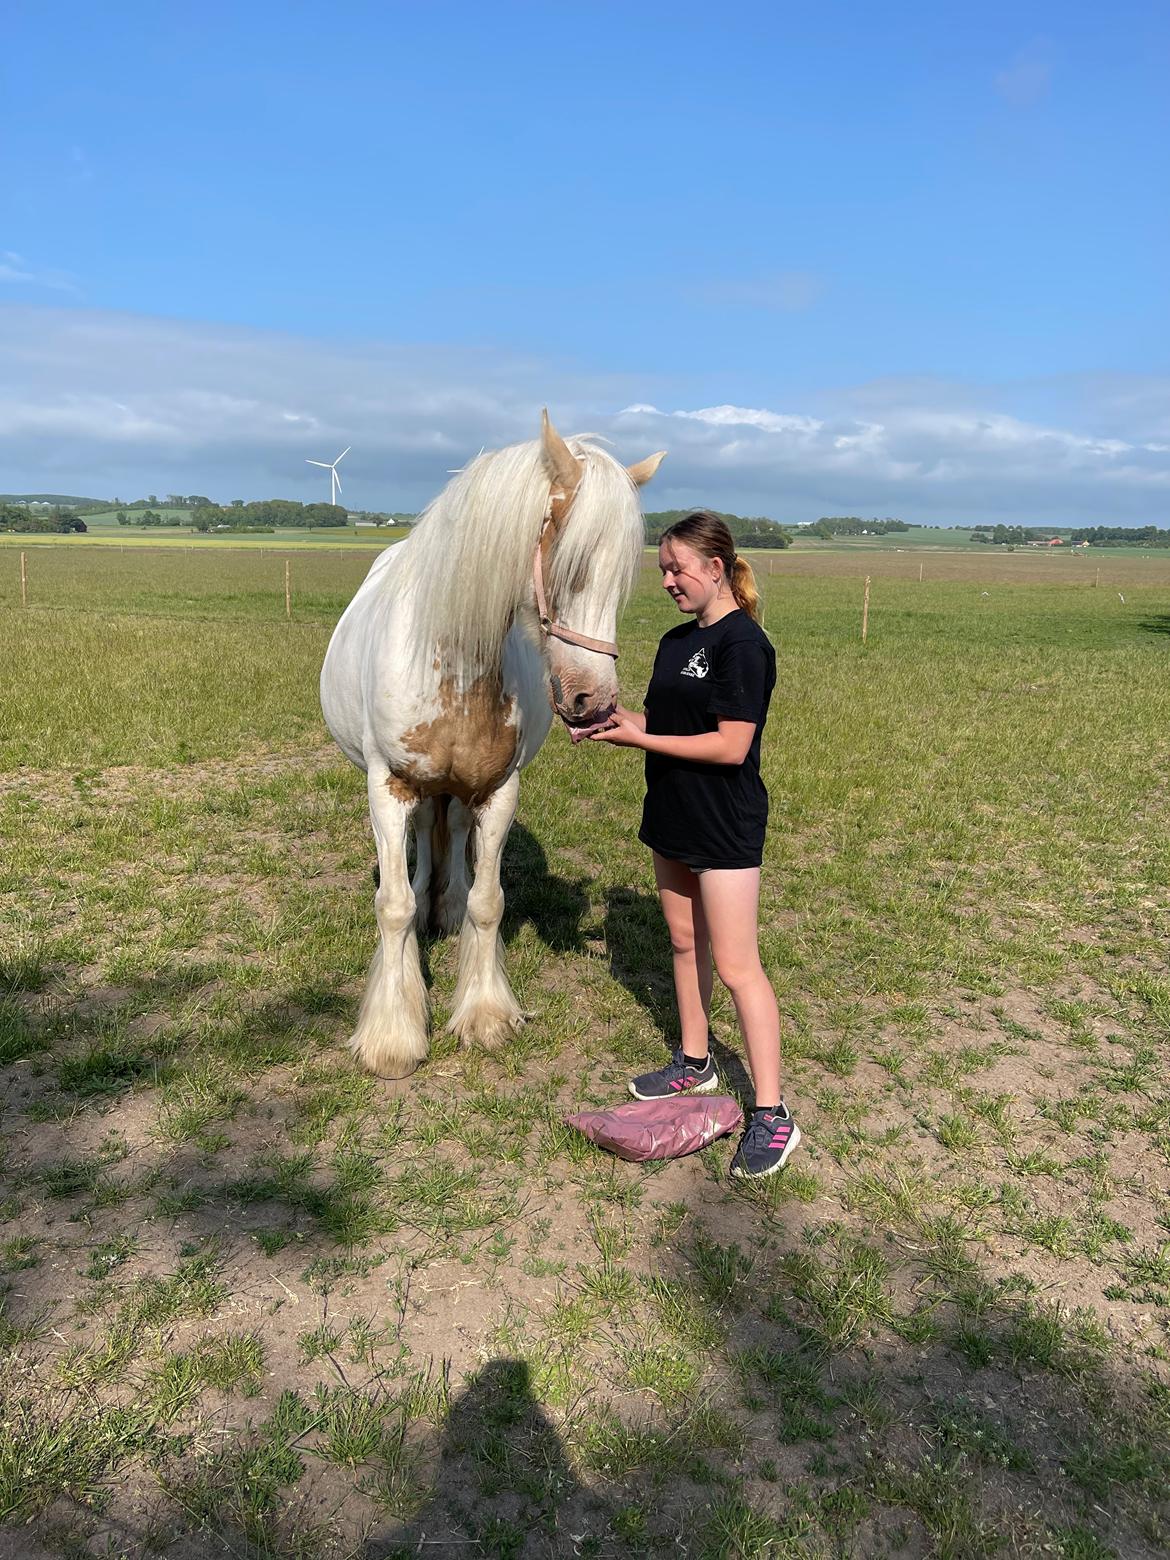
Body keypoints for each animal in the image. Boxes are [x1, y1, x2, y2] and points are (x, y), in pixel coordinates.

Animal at [321, 408, 667, 1079]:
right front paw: (393, 1034)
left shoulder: (499, 790)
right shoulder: (388, 787)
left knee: (452, 834)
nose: (595, 703)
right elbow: (393, 906)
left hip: (462, 789)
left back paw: (446, 907)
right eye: (571, 565)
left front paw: (483, 1015)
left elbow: (488, 901)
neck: (454, 660)